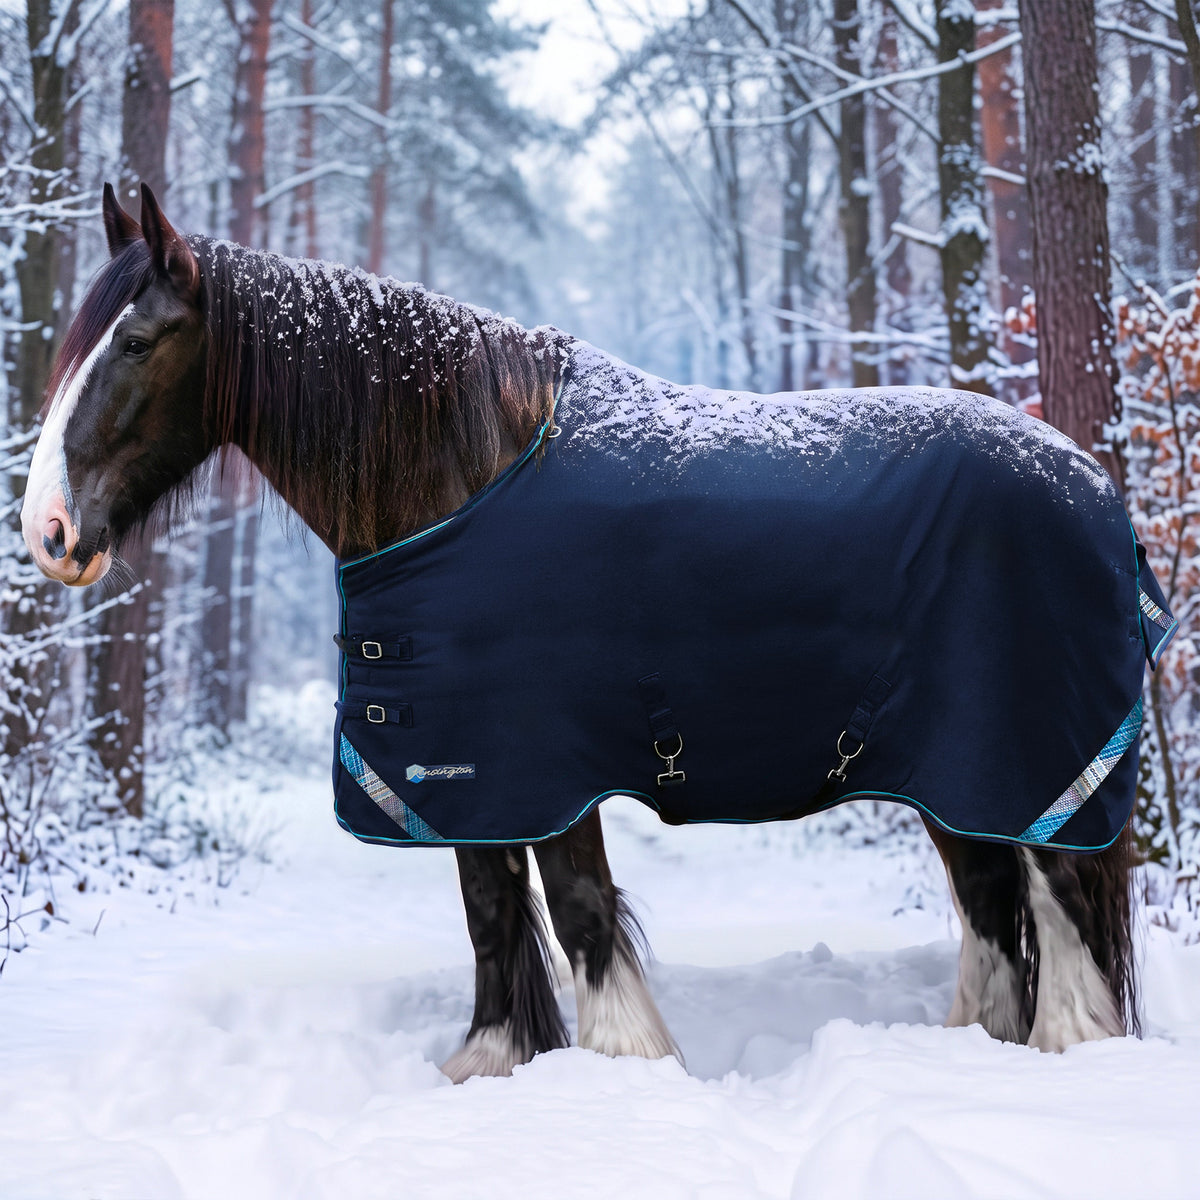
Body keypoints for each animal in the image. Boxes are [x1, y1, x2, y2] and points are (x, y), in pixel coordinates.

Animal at [20, 184, 1168, 1080]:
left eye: (134, 341)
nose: (49, 532)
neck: (463, 477)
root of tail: (1096, 487)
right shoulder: (472, 769)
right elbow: (490, 910)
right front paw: (493, 1063)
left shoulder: (550, 763)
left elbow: (574, 910)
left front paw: (624, 1068)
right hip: (954, 777)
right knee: (990, 907)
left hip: (1026, 762)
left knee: (1056, 902)